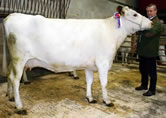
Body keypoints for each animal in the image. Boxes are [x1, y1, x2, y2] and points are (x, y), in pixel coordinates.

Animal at [2, 5, 152, 114]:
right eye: (135, 14)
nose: (151, 23)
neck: (112, 33)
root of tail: (12, 16)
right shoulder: (103, 63)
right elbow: (104, 83)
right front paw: (107, 101)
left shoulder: (89, 65)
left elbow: (89, 81)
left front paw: (90, 98)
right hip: (19, 59)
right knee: (15, 80)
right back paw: (19, 106)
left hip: (13, 59)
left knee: (9, 75)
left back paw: (10, 96)